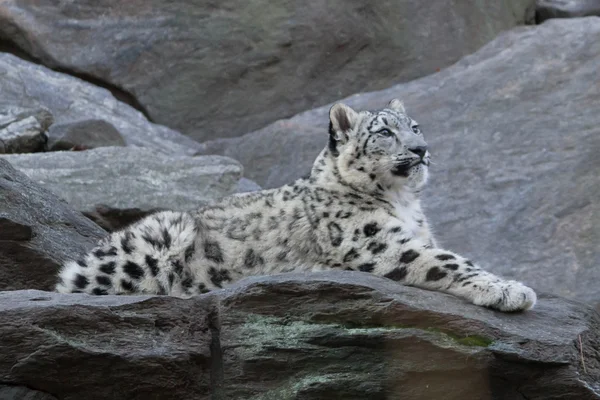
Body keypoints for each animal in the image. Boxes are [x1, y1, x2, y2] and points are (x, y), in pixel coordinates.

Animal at [54, 98, 536, 310]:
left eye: (415, 126)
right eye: (384, 132)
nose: (421, 149)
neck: (404, 203)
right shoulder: (375, 242)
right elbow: (448, 260)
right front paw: (510, 289)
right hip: (156, 235)